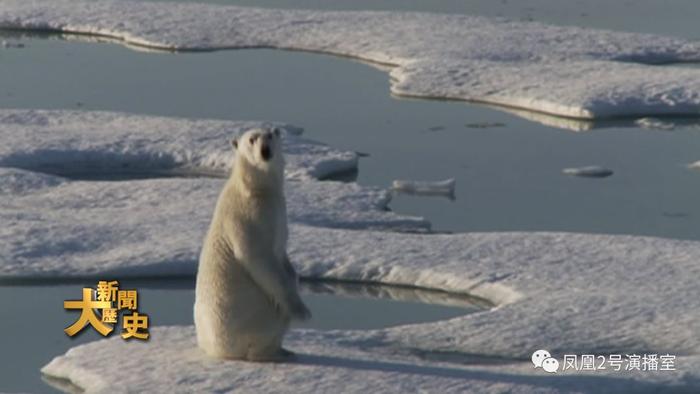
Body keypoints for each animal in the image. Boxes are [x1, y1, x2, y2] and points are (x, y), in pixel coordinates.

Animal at [193, 127, 310, 362]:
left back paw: (284, 350)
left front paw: (294, 278)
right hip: (250, 316)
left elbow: (282, 255)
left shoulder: (279, 212)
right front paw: (301, 311)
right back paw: (272, 352)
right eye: (252, 140)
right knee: (267, 326)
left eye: (271, 135)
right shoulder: (250, 215)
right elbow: (258, 258)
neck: (255, 188)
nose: (265, 151)